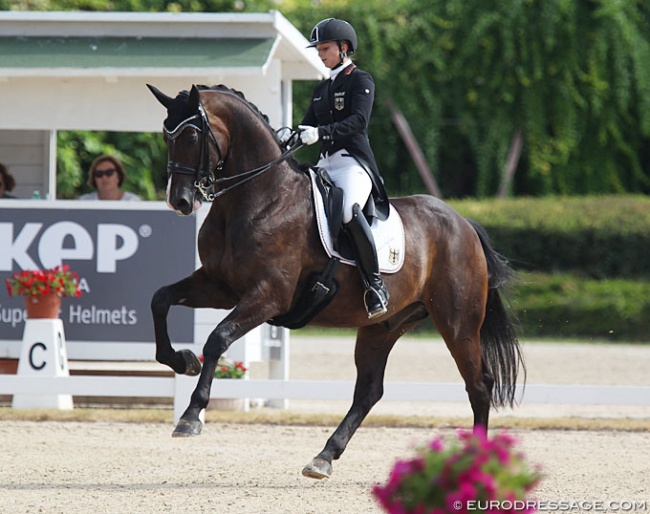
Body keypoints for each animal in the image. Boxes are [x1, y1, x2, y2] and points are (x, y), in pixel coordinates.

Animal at [146, 82, 520, 478]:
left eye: (190, 135)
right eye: (166, 136)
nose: (179, 201)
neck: (261, 197)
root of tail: (464, 223)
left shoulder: (268, 296)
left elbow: (218, 338)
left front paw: (190, 415)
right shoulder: (220, 286)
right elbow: (160, 299)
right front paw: (182, 360)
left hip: (457, 323)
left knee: (478, 385)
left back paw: (477, 460)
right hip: (382, 327)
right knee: (369, 391)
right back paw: (324, 456)